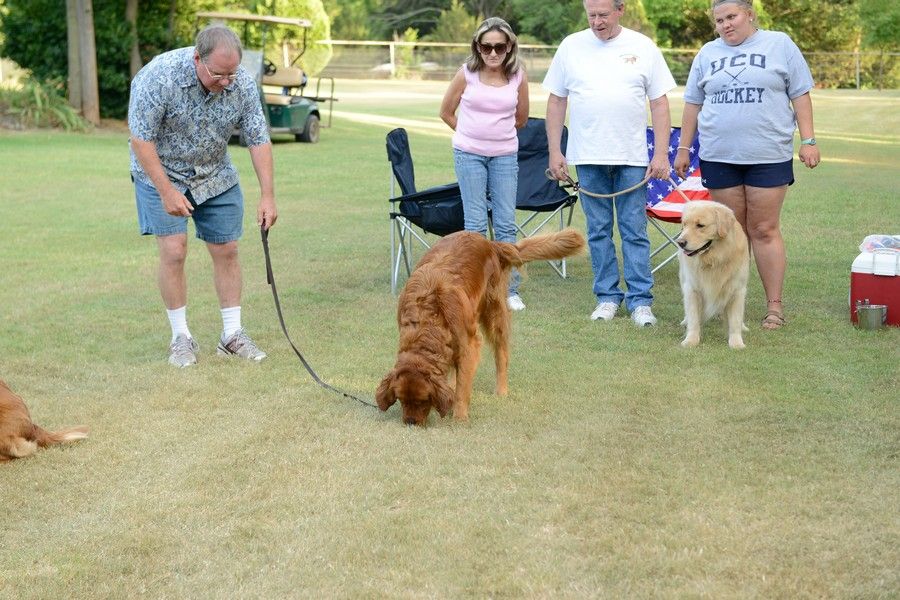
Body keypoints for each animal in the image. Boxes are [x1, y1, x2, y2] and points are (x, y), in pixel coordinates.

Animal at [377, 229, 586, 426]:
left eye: (423, 401)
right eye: (401, 400)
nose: (410, 423)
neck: (426, 315)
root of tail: (490, 243)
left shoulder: (468, 344)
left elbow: (463, 386)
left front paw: (460, 417)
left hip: (495, 314)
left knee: (501, 355)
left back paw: (501, 390)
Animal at [676, 200, 750, 349]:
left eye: (700, 225)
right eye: (684, 224)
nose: (680, 242)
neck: (714, 260)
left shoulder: (737, 290)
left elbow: (735, 320)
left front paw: (736, 342)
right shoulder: (692, 289)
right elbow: (693, 318)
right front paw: (691, 340)